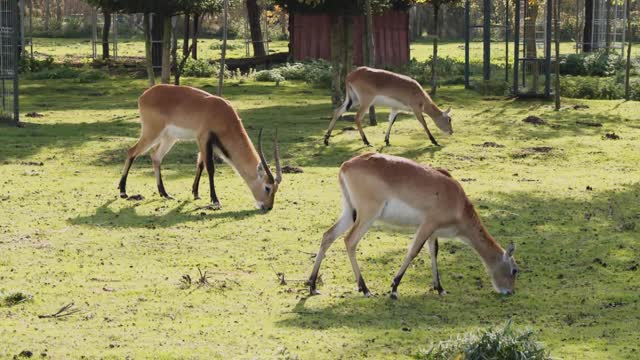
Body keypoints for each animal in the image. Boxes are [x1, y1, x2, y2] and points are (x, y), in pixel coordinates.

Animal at [118, 84, 282, 211]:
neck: (223, 114)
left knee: (155, 156)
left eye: (276, 189)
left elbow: (200, 164)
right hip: (152, 133)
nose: (268, 207)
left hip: (169, 138)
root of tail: (145, 95)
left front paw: (195, 193)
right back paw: (123, 191)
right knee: (132, 151)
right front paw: (215, 200)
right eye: (267, 187)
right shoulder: (203, 138)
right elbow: (210, 168)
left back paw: (165, 193)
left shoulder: (210, 144)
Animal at [306, 152, 520, 298]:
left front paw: (440, 288)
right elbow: (413, 251)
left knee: (328, 235)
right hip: (367, 216)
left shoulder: (433, 231)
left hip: (350, 212)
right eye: (515, 270)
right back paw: (365, 289)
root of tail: (346, 165)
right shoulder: (427, 224)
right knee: (349, 241)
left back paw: (313, 285)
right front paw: (394, 288)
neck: (458, 203)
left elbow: (433, 253)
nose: (509, 291)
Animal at [322, 67, 452, 147]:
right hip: (365, 101)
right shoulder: (416, 109)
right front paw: (435, 142)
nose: (451, 131)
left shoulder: (395, 108)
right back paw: (366, 142)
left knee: (337, 111)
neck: (418, 92)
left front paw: (387, 140)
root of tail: (350, 76)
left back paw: (326, 140)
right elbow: (424, 123)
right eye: (449, 119)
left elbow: (391, 121)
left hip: (353, 100)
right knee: (357, 117)